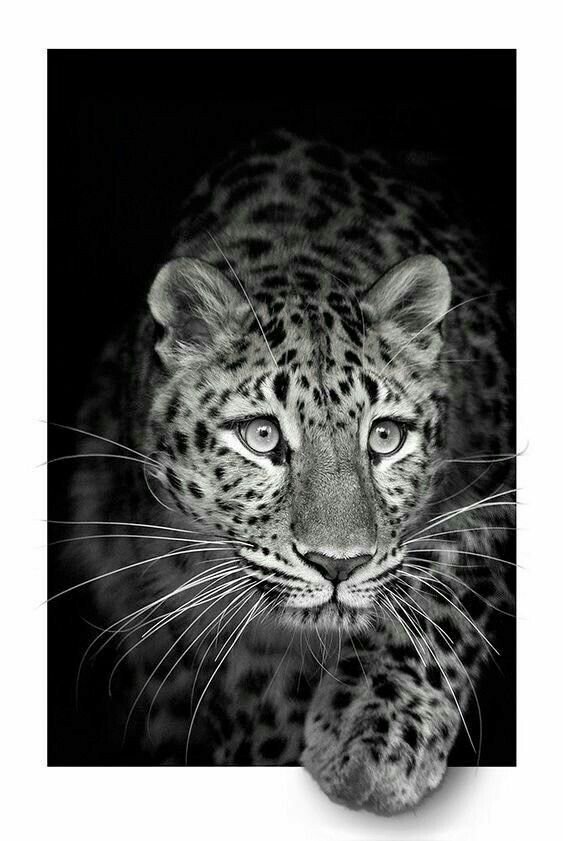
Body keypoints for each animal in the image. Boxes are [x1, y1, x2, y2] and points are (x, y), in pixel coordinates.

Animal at [56, 129, 515, 814]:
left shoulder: (499, 497)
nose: (338, 565)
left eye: (385, 436)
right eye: (262, 436)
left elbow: (442, 600)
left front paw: (374, 744)